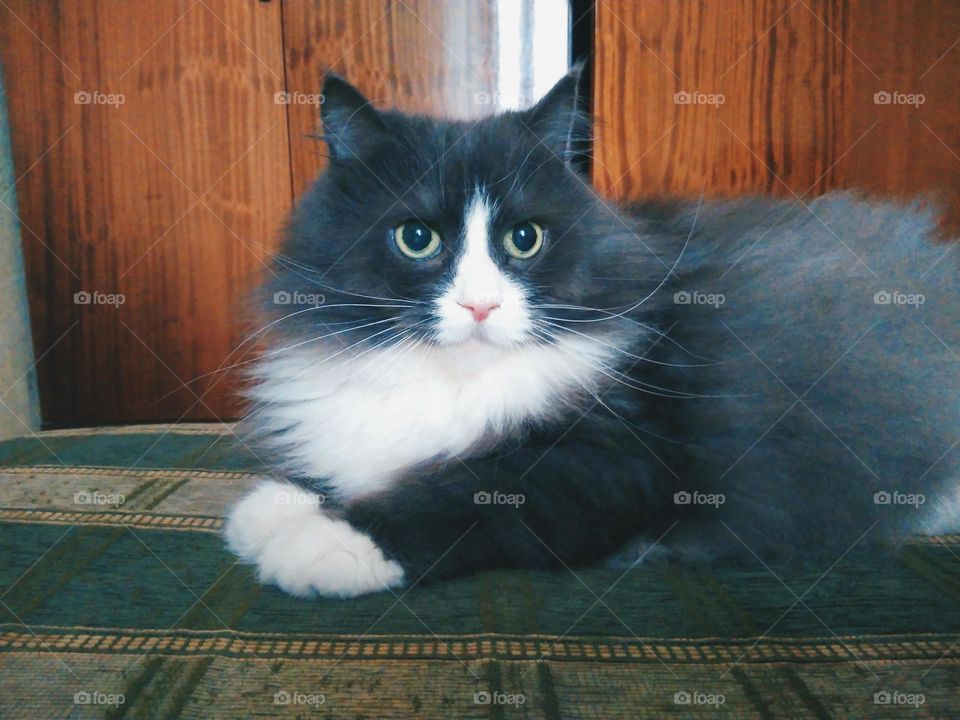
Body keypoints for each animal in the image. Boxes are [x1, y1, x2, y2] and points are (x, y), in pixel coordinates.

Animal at [223, 66, 960, 596]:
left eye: (524, 239)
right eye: (416, 238)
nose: (480, 306)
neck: (448, 383)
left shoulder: (619, 461)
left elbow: (461, 496)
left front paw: (330, 541)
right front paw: (274, 509)